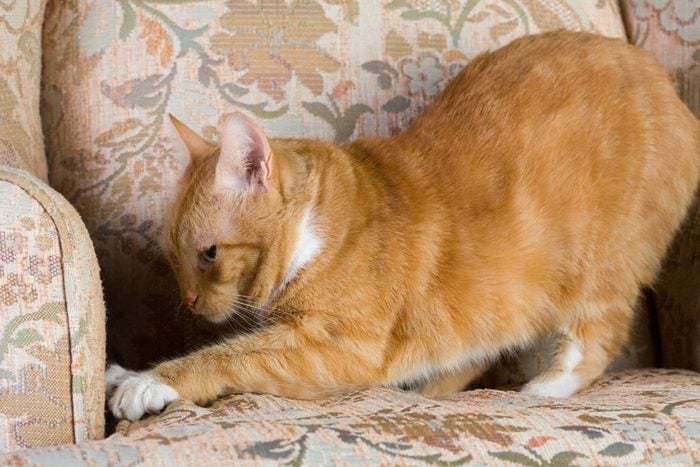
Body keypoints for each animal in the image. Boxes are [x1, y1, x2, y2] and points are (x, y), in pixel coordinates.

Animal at [106, 31, 696, 422]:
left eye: (208, 254)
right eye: (173, 257)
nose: (188, 301)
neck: (318, 229)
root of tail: (664, 83)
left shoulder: (338, 348)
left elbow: (227, 356)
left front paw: (148, 381)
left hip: (601, 269)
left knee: (595, 336)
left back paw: (542, 391)